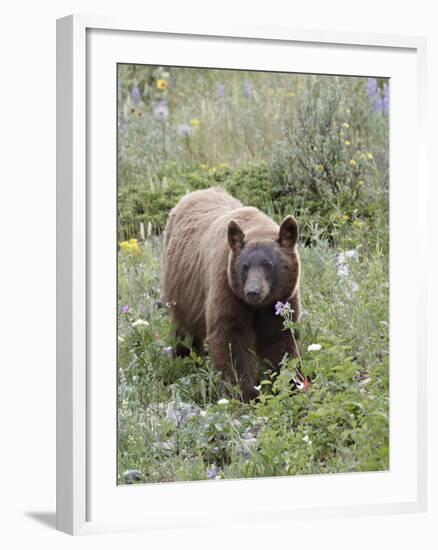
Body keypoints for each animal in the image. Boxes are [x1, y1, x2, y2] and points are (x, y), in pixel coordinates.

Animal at [161, 188, 302, 404]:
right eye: (245, 266)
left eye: (268, 264)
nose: (252, 292)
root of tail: (192, 194)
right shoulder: (226, 287)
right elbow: (229, 338)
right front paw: (246, 394)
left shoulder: (281, 300)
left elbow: (279, 339)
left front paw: (290, 384)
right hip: (181, 289)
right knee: (184, 330)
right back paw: (184, 360)